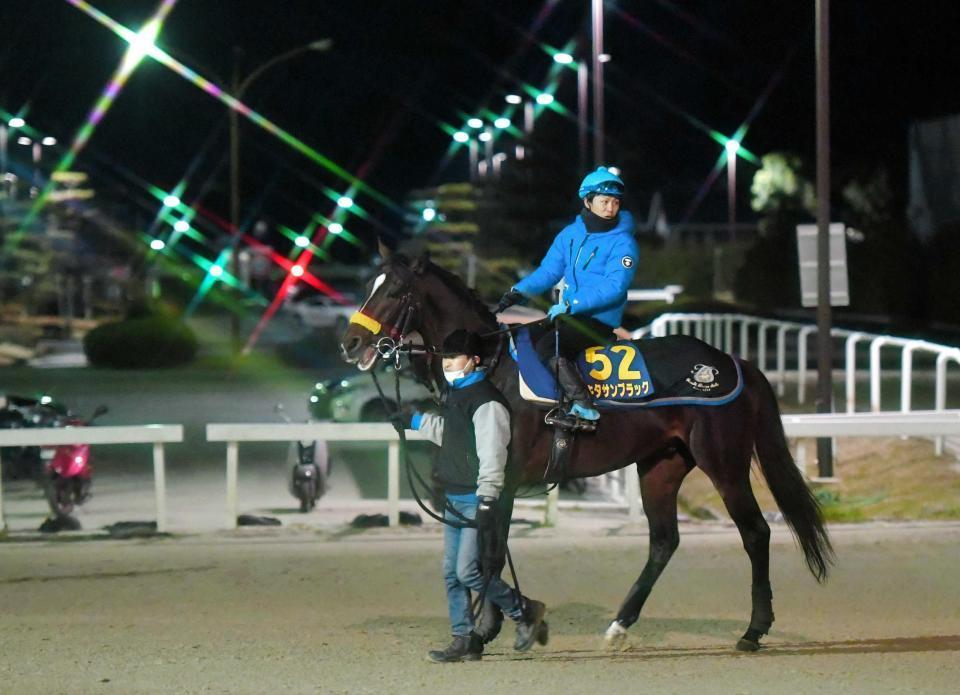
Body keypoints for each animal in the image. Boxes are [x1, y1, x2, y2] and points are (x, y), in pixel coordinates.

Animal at [340, 251, 832, 652]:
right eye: (368, 287)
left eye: (395, 291)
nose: (351, 343)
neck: (491, 366)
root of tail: (732, 362)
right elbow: (490, 551)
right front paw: (494, 625)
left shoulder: (504, 480)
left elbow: (490, 554)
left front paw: (484, 631)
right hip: (661, 465)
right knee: (664, 541)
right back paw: (619, 625)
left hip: (724, 463)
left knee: (755, 533)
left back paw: (753, 630)